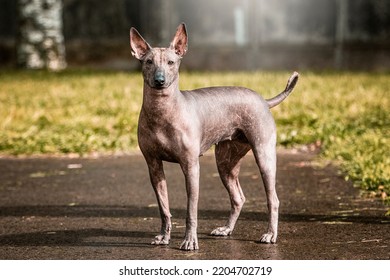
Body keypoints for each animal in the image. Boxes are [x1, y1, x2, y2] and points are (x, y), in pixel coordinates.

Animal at [129, 22, 298, 249]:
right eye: (148, 62)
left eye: (171, 62)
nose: (159, 80)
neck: (162, 110)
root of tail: (264, 100)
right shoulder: (154, 166)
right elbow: (164, 208)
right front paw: (164, 237)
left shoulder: (191, 167)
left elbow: (191, 210)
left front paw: (190, 241)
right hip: (225, 163)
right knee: (238, 197)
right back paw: (226, 229)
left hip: (264, 157)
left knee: (273, 199)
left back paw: (270, 234)